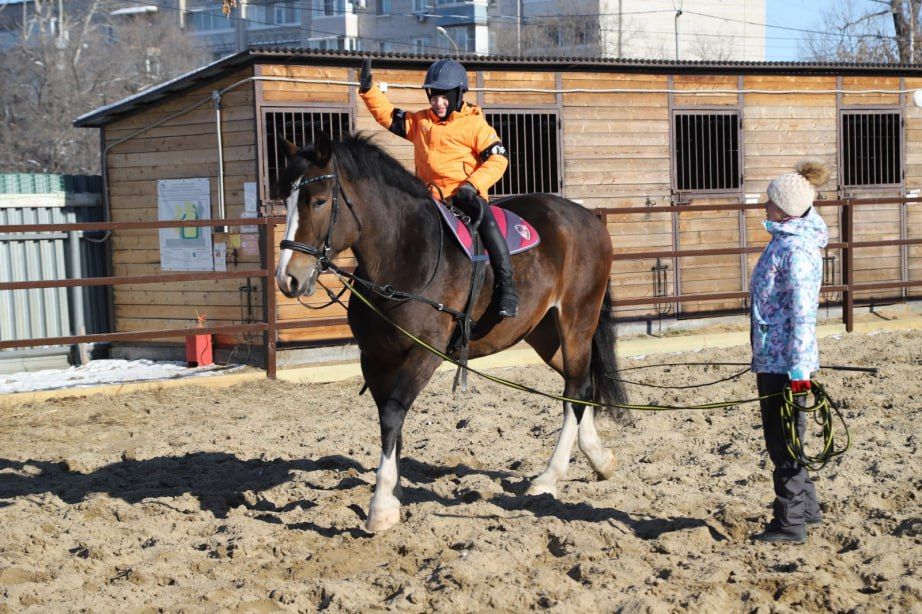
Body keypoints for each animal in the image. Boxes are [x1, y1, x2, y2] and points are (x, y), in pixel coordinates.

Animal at [276, 135, 628, 536]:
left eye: (318, 201)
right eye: (286, 200)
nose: (288, 278)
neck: (404, 257)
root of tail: (587, 219)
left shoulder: (425, 353)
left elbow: (393, 414)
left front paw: (382, 507)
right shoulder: (375, 358)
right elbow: (388, 422)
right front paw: (394, 494)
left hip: (577, 319)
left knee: (574, 391)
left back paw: (549, 477)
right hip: (544, 333)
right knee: (580, 385)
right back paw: (600, 459)